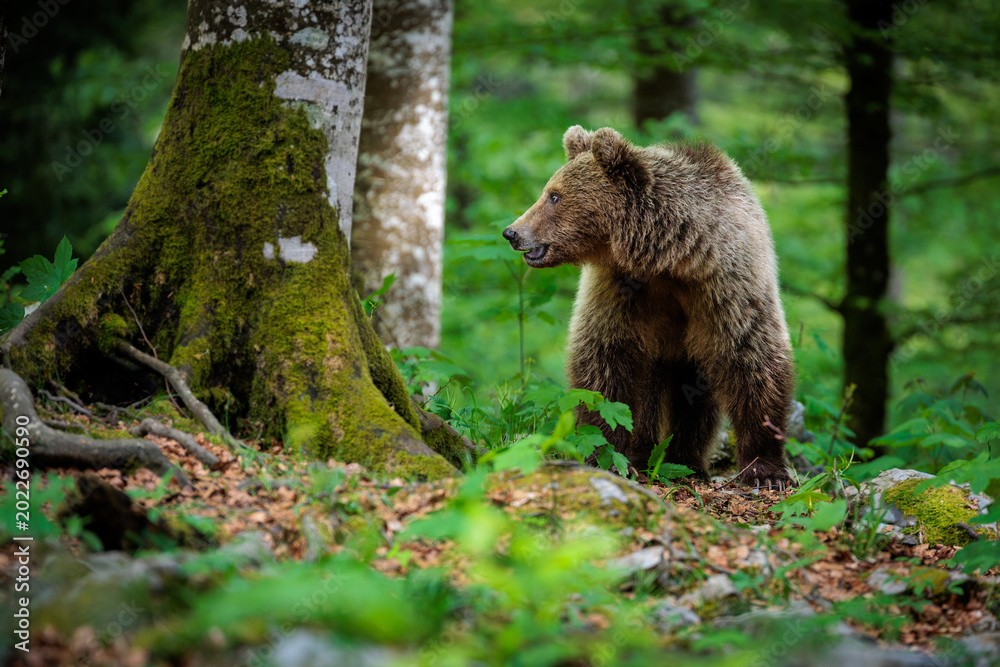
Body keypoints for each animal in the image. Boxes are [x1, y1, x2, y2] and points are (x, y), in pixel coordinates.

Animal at [502, 126, 795, 489]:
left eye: (554, 195)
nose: (512, 232)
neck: (669, 259)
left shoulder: (725, 285)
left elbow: (752, 358)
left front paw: (766, 471)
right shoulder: (619, 291)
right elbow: (605, 365)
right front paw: (609, 456)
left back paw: (686, 461)